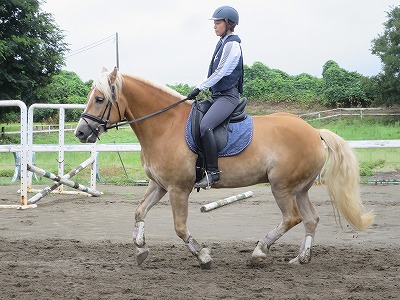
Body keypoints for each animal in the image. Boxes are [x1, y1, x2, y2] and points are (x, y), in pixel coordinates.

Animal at [76, 68, 376, 270]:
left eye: (100, 99)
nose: (80, 132)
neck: (165, 125)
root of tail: (315, 132)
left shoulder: (178, 189)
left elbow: (180, 228)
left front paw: (203, 256)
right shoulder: (159, 185)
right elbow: (139, 211)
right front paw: (140, 249)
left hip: (282, 187)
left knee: (292, 218)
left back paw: (259, 252)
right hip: (299, 189)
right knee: (311, 219)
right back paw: (301, 258)